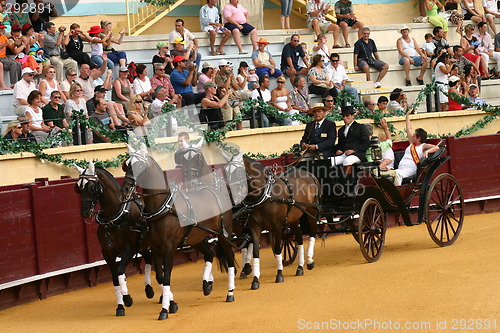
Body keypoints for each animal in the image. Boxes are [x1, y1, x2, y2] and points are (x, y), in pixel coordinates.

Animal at [75, 162, 153, 316]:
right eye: (78, 187)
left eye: (91, 187)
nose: (85, 212)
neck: (113, 219)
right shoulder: (107, 253)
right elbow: (114, 277)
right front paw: (120, 307)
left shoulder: (129, 250)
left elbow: (119, 271)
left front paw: (127, 298)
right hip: (142, 246)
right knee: (149, 258)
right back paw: (149, 290)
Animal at [121, 144, 238, 320]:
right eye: (126, 165)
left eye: (139, 165)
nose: (125, 189)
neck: (163, 208)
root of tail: (214, 190)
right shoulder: (156, 249)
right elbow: (160, 277)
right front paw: (172, 303)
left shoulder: (169, 248)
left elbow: (167, 277)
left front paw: (164, 310)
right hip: (197, 239)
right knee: (210, 254)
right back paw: (207, 286)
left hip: (224, 235)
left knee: (230, 261)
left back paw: (230, 293)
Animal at [223, 153, 320, 288]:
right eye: (226, 171)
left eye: (237, 172)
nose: (230, 197)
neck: (266, 195)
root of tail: (310, 174)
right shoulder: (254, 228)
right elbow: (256, 252)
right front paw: (255, 280)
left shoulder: (277, 227)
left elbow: (278, 250)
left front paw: (279, 274)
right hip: (293, 219)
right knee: (299, 237)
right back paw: (300, 267)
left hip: (311, 211)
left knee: (312, 233)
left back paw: (310, 260)